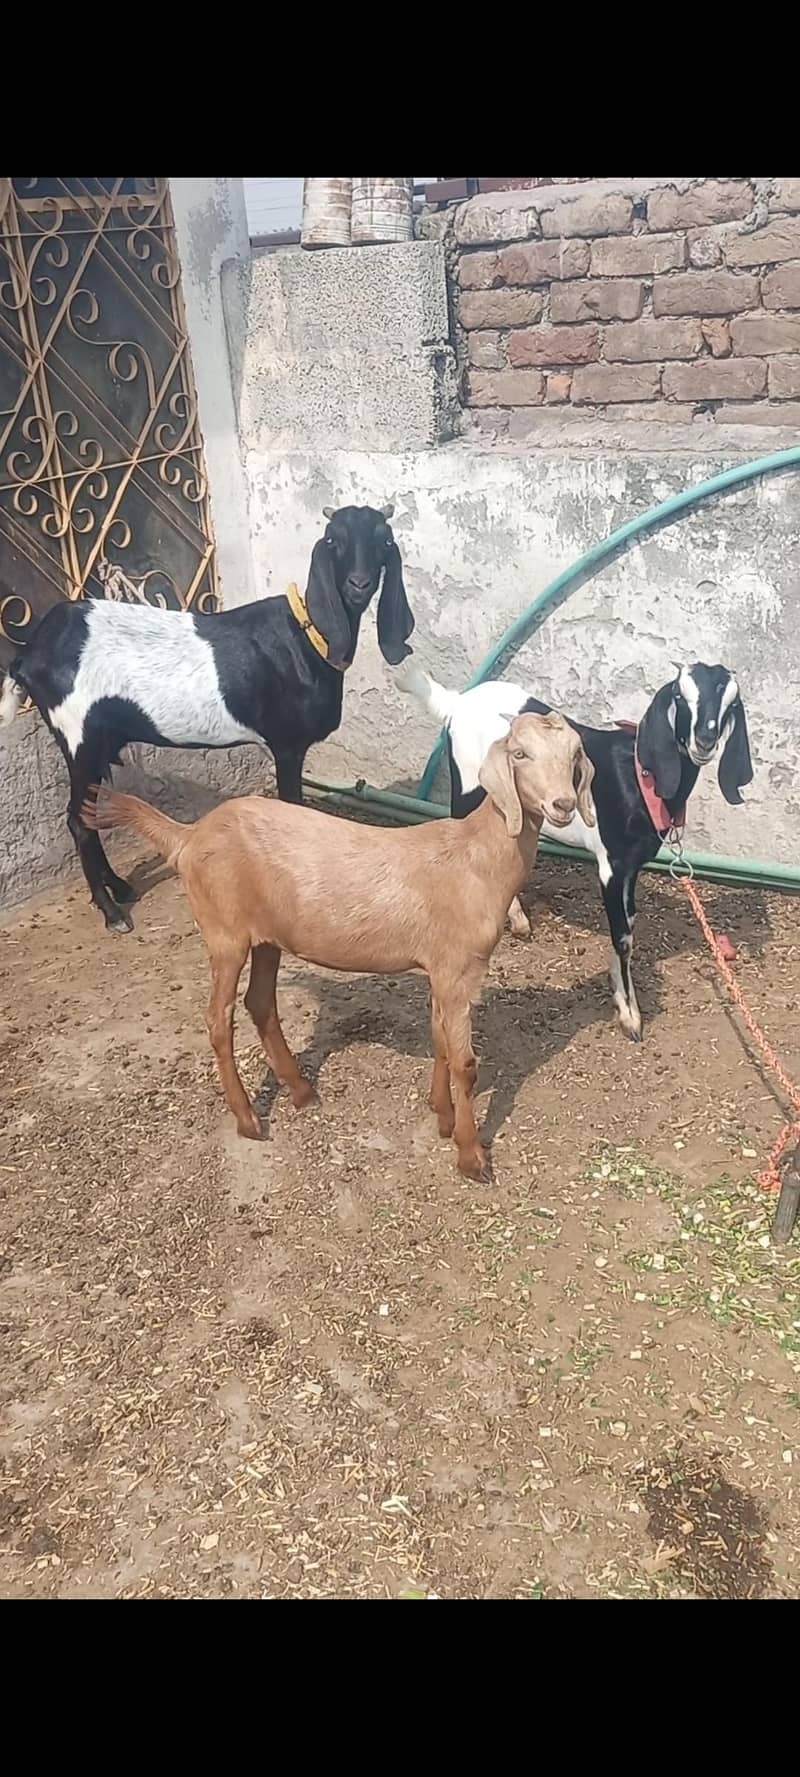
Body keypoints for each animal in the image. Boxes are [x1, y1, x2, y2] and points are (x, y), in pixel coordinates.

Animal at [0, 504, 413, 934]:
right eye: (334, 540)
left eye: (384, 541)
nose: (359, 584)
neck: (304, 638)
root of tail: (29, 653)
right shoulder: (286, 743)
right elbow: (291, 806)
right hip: (78, 735)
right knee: (78, 822)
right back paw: (112, 913)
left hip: (100, 743)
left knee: (88, 814)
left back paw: (121, 889)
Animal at [81, 711, 595, 1179]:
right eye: (519, 754)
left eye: (574, 755)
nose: (563, 804)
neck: (475, 858)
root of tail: (189, 836)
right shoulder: (459, 968)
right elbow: (466, 1062)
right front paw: (471, 1157)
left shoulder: (440, 968)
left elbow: (440, 1041)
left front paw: (441, 1116)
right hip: (224, 932)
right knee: (218, 1019)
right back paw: (248, 1119)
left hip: (266, 936)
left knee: (259, 1002)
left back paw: (302, 1092)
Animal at [397, 661, 753, 1043]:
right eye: (679, 695)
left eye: (732, 704)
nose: (704, 741)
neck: (640, 777)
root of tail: (457, 703)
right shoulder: (610, 864)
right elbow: (622, 935)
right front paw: (630, 1016)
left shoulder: (632, 865)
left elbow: (628, 923)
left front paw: (618, 987)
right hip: (468, 787)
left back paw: (518, 919)